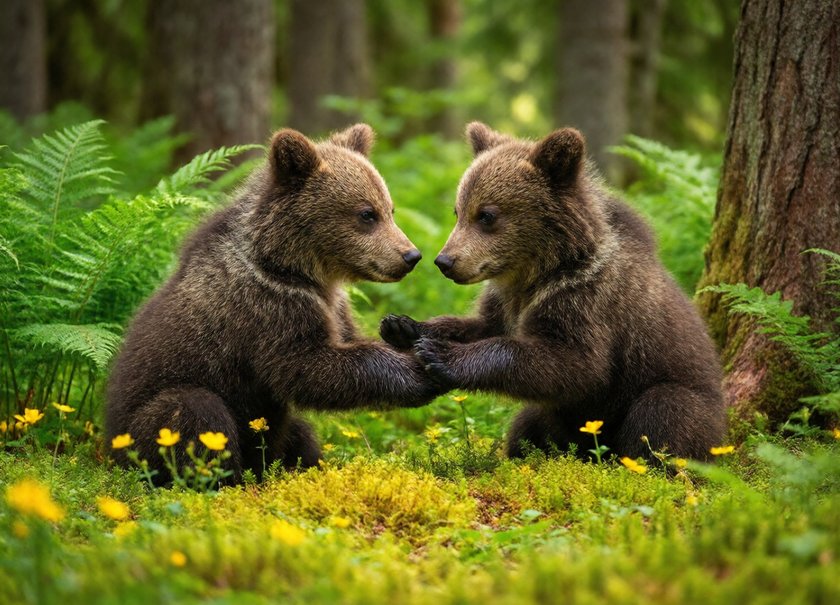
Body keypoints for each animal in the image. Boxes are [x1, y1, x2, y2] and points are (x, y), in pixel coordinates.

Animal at [106, 124, 441, 482]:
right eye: (367, 214)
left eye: (390, 209)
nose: (411, 256)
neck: (294, 268)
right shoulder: (269, 308)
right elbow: (306, 366)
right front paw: (416, 373)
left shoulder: (332, 305)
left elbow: (346, 340)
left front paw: (405, 330)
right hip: (147, 420)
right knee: (191, 411)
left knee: (299, 433)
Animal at [380, 122, 726, 461]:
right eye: (458, 211)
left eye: (487, 215)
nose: (445, 261)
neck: (538, 271)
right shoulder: (505, 301)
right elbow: (481, 325)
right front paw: (403, 326)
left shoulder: (585, 300)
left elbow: (574, 364)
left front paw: (440, 354)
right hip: (554, 420)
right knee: (526, 427)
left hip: (675, 393)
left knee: (663, 413)